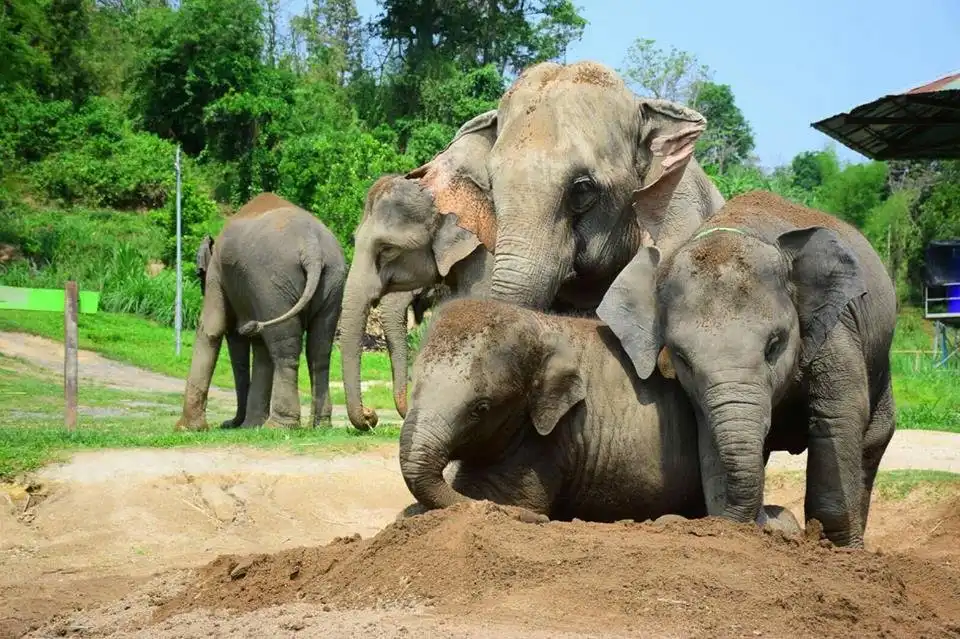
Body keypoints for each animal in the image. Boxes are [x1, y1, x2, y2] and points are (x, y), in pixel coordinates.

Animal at [176, 192, 346, 431]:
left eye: (200, 275)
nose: (230, 423)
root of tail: (312, 248)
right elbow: (260, 347)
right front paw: (250, 426)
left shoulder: (218, 275)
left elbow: (212, 328)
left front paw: (186, 428)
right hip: (332, 281)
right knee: (319, 349)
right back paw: (319, 426)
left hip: (274, 282)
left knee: (285, 349)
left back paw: (278, 426)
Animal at [596, 190, 898, 548]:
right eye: (682, 358)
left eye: (774, 345)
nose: (768, 518)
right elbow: (709, 434)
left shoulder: (835, 329)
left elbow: (838, 415)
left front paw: (838, 549)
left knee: (872, 443)